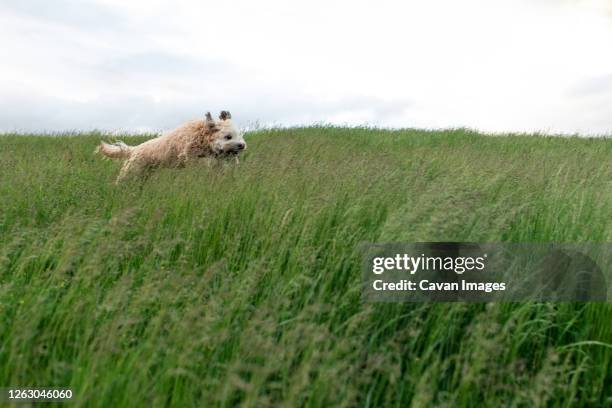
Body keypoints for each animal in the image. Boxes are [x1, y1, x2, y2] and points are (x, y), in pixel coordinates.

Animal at [97, 111, 245, 182]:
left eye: (239, 135)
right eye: (228, 137)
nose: (242, 145)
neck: (202, 136)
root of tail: (134, 149)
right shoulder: (191, 157)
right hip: (131, 170)